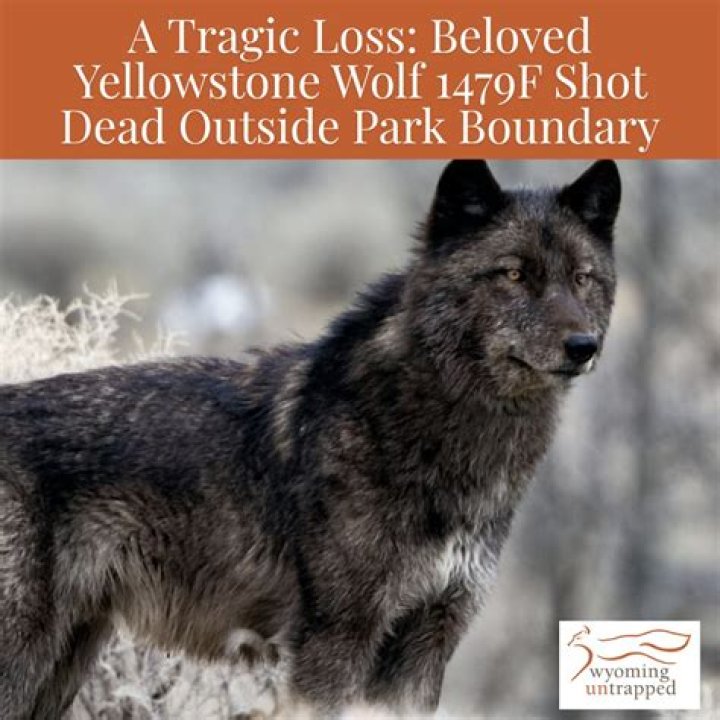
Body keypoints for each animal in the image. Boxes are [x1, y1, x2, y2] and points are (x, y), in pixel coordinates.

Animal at [0, 159, 620, 719]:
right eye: (513, 274)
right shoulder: (333, 644)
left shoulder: (426, 645)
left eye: (583, 278)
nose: (584, 347)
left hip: (63, 665)